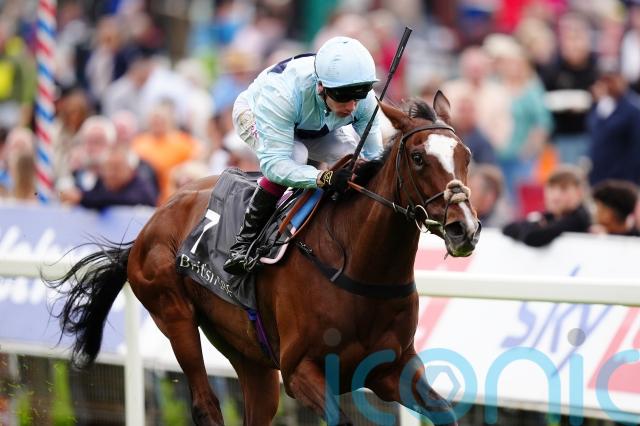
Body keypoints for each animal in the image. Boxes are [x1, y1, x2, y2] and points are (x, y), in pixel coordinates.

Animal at [46, 92, 481, 426]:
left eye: (467, 155)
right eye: (419, 157)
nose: (465, 228)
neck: (360, 266)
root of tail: (150, 224)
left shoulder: (392, 368)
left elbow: (445, 412)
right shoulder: (300, 371)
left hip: (248, 353)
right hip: (174, 316)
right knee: (205, 404)